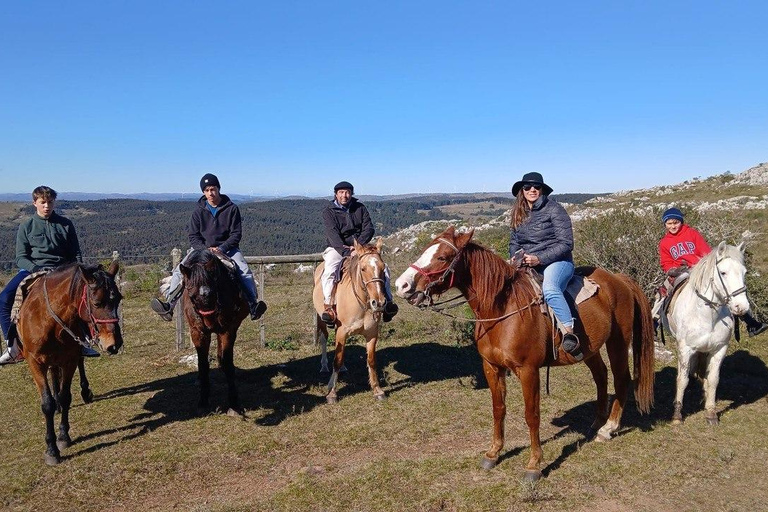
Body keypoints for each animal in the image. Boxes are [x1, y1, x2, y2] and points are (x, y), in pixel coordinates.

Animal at [18, 262, 122, 466]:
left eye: (119, 299)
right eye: (97, 303)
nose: (114, 344)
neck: (49, 321)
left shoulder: (69, 360)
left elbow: (66, 397)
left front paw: (63, 437)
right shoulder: (35, 363)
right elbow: (47, 404)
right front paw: (51, 450)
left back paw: (84, 391)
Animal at [178, 249, 248, 416]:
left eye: (213, 292)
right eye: (191, 295)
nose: (209, 320)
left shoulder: (227, 330)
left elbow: (228, 363)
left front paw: (234, 404)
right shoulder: (198, 333)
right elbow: (203, 364)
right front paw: (203, 402)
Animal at [310, 238, 388, 402]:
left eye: (383, 267)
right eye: (363, 269)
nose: (379, 303)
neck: (362, 304)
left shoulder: (372, 333)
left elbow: (371, 360)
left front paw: (377, 390)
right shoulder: (342, 331)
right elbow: (337, 360)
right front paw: (332, 392)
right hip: (322, 319)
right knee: (324, 339)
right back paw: (324, 366)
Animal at [396, 227, 656, 480]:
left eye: (442, 257)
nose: (401, 285)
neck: (502, 311)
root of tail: (619, 279)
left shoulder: (528, 371)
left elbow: (532, 415)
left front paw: (534, 465)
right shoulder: (491, 367)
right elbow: (498, 409)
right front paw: (493, 453)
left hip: (617, 343)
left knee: (621, 380)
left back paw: (608, 428)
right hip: (589, 349)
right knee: (601, 376)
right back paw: (596, 423)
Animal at [664, 242, 748, 426]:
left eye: (744, 272)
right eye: (723, 272)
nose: (742, 306)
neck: (707, 316)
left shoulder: (719, 349)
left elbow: (713, 380)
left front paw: (711, 412)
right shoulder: (685, 349)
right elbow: (682, 380)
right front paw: (677, 415)